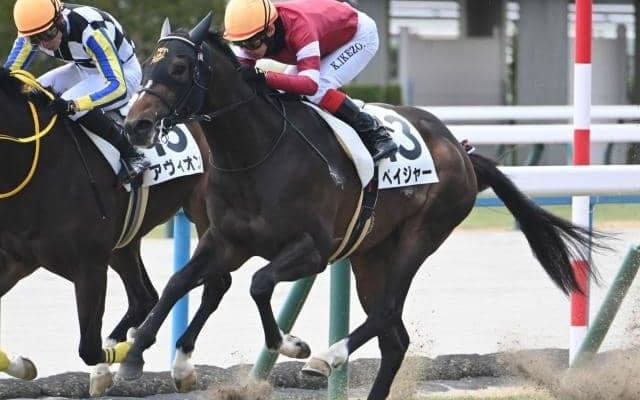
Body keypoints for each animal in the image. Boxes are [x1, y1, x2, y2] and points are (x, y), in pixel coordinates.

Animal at [0, 67, 209, 396]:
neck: (42, 165)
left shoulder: (90, 265)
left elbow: (88, 347)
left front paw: (130, 352)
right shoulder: (16, 259)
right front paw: (23, 365)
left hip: (207, 216)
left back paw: (181, 366)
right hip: (125, 242)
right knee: (144, 297)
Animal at [117, 15, 603, 399]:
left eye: (179, 67)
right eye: (147, 64)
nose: (136, 124)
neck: (255, 153)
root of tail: (462, 153)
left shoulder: (312, 250)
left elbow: (259, 283)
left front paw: (292, 345)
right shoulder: (225, 240)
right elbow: (180, 282)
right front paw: (141, 356)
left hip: (421, 235)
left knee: (386, 311)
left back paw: (327, 357)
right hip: (371, 254)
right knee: (394, 337)